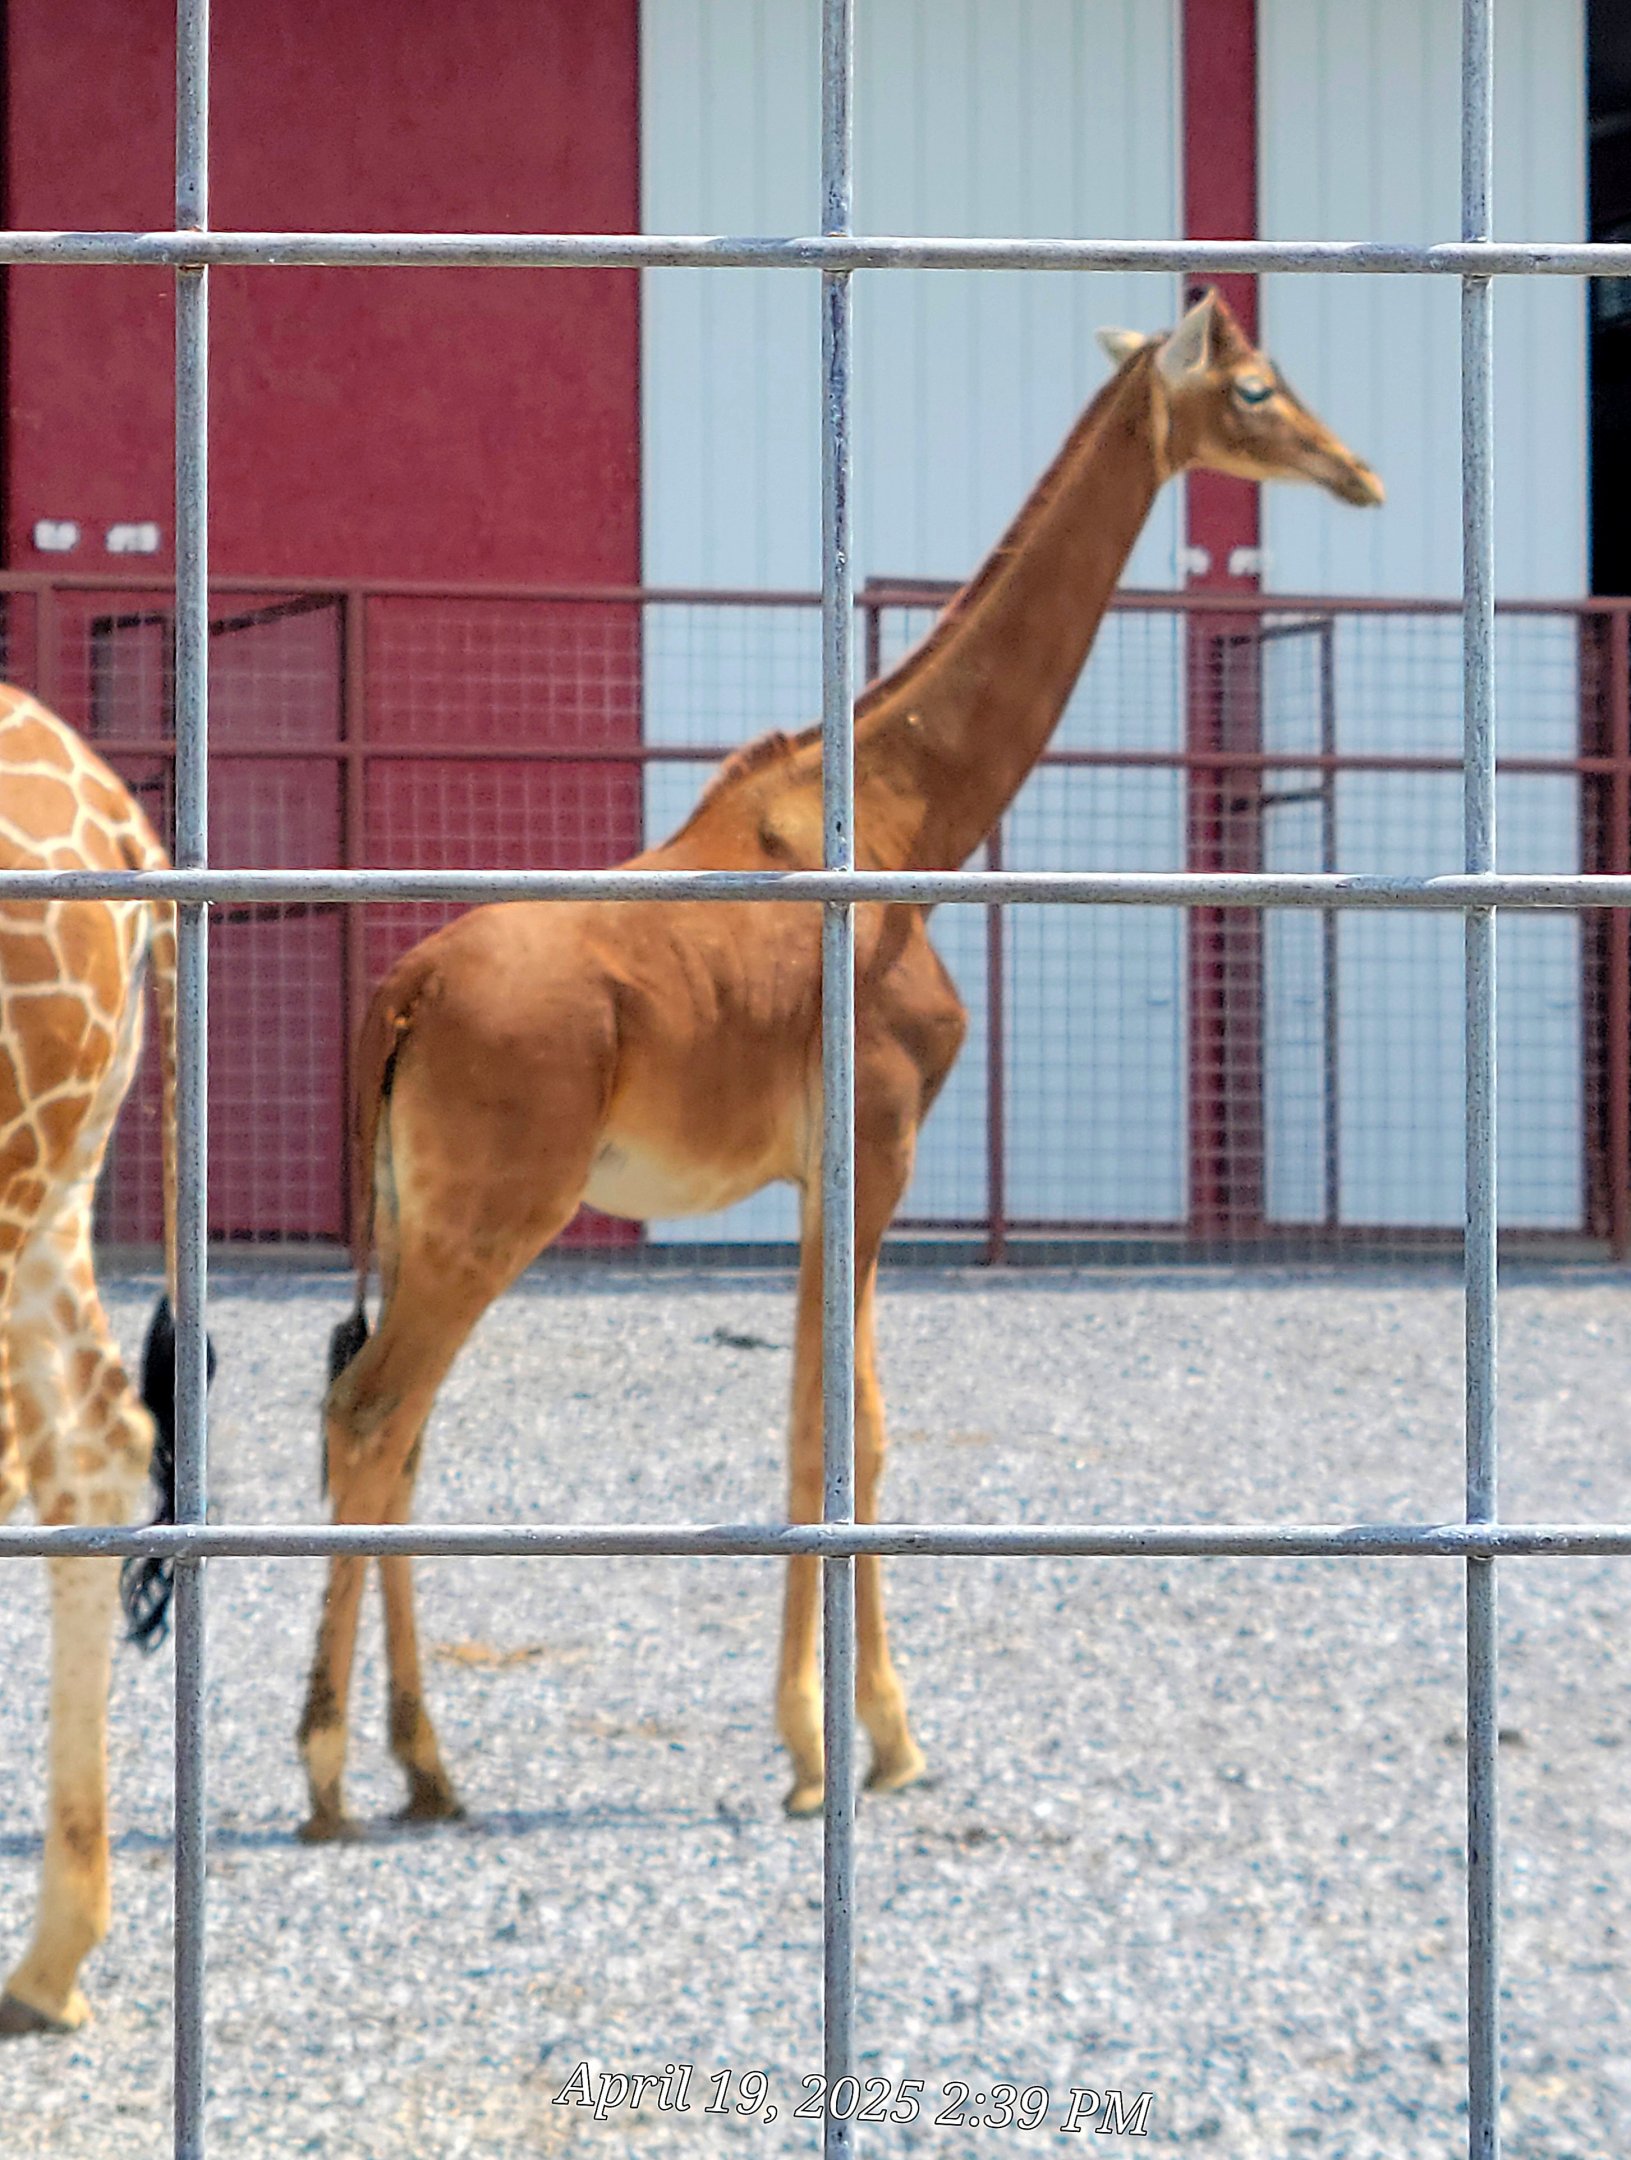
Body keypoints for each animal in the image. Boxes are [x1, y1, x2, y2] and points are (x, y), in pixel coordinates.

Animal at [298, 289, 1383, 1838]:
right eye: (1251, 390)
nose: (1358, 472)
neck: (909, 814)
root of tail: (403, 992)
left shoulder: (817, 1173)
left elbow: (827, 1416)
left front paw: (838, 1735)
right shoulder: (876, 1143)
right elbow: (848, 1428)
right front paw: (855, 1741)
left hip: (417, 1216)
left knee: (394, 1425)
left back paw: (427, 1767)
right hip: (495, 1211)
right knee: (376, 1411)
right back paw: (334, 1767)